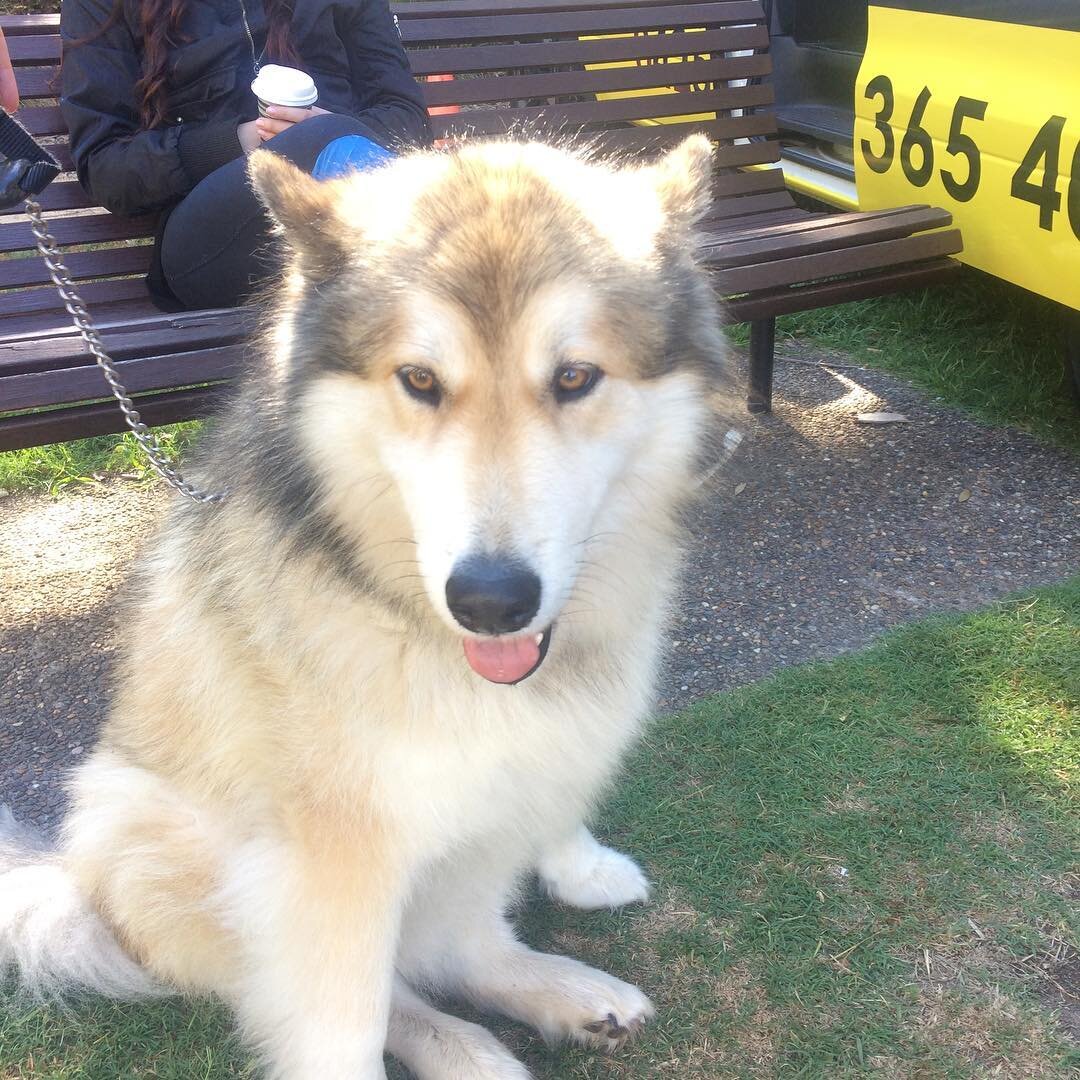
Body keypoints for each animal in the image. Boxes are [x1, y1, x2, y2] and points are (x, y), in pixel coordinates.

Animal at [0, 137, 734, 1080]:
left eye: (575, 377)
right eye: (419, 379)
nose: (490, 601)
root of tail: (79, 883)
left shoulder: (557, 744)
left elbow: (550, 807)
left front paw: (581, 867)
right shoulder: (338, 858)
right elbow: (341, 1023)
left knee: (461, 943)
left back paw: (561, 995)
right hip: (152, 830)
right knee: (372, 985)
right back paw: (465, 1047)